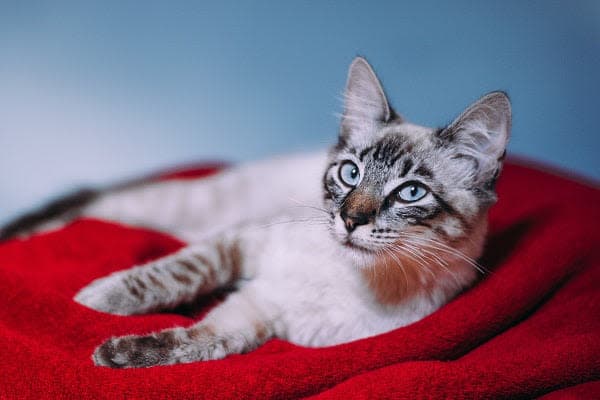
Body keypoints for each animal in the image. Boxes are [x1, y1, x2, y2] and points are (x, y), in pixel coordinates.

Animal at [0, 57, 510, 368]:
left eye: (410, 193)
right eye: (350, 173)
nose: (350, 219)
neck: (347, 273)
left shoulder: (260, 317)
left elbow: (194, 343)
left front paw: (115, 355)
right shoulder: (241, 242)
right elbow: (170, 274)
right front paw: (95, 301)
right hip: (185, 207)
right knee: (89, 204)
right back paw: (27, 237)